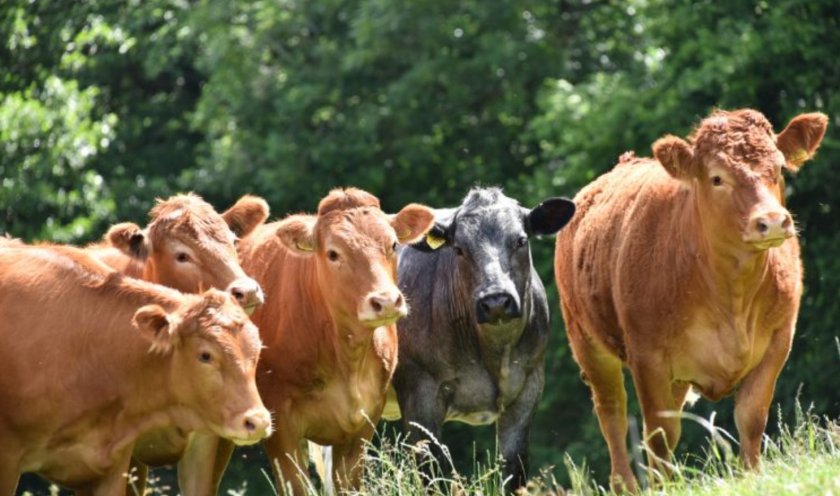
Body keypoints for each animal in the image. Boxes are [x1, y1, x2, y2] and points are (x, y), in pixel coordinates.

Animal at [180, 188, 436, 494]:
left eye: (393, 244)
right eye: (333, 253)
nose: (385, 301)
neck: (346, 358)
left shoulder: (364, 422)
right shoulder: (281, 424)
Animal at [388, 187, 576, 492]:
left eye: (521, 240)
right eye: (458, 249)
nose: (496, 300)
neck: (493, 353)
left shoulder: (528, 386)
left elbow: (514, 468)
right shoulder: (420, 391)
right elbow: (432, 472)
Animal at [556, 109, 828, 492]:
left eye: (777, 168)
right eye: (717, 178)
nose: (772, 221)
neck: (732, 293)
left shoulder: (779, 340)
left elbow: (751, 416)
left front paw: (751, 475)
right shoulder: (648, 355)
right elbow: (660, 432)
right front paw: (663, 487)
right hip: (586, 342)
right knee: (612, 414)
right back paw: (625, 483)